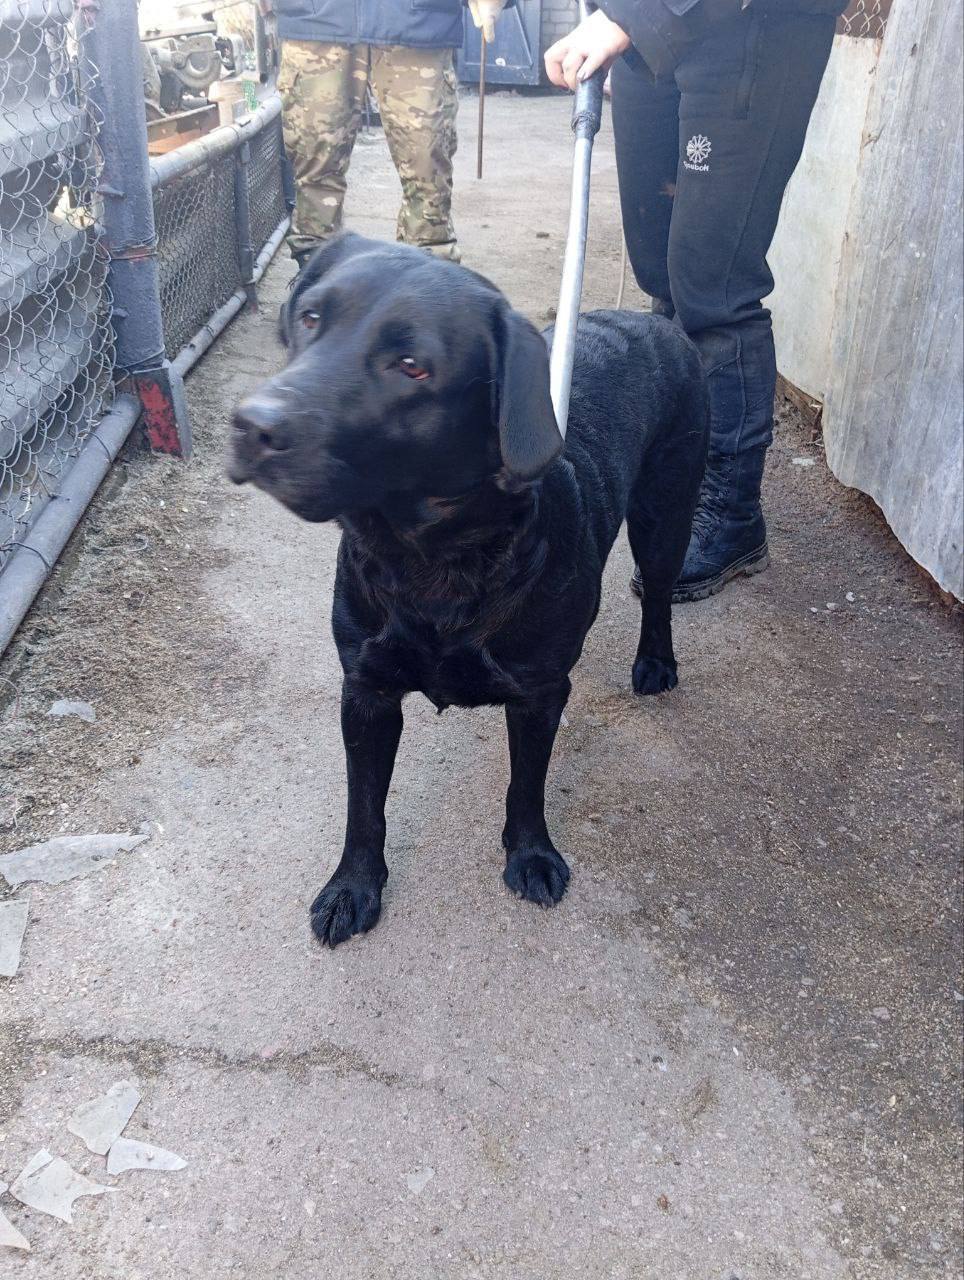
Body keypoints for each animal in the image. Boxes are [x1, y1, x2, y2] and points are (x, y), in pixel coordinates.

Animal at [229, 233, 708, 947]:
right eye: (311, 317)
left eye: (411, 366)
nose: (251, 424)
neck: (430, 562)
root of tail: (653, 321)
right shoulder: (365, 692)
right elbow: (364, 806)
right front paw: (353, 887)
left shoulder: (540, 693)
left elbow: (527, 788)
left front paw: (531, 855)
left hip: (666, 510)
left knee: (657, 591)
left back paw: (655, 662)